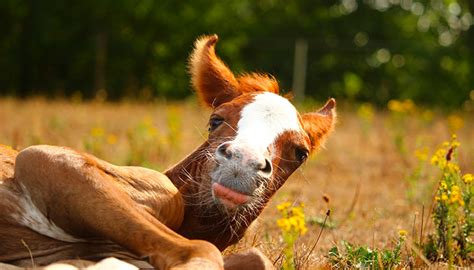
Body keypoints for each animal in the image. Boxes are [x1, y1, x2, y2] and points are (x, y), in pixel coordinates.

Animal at [0, 34, 336, 268]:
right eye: (216, 119)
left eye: (300, 152)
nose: (242, 163)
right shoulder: (47, 159)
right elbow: (200, 250)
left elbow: (255, 258)